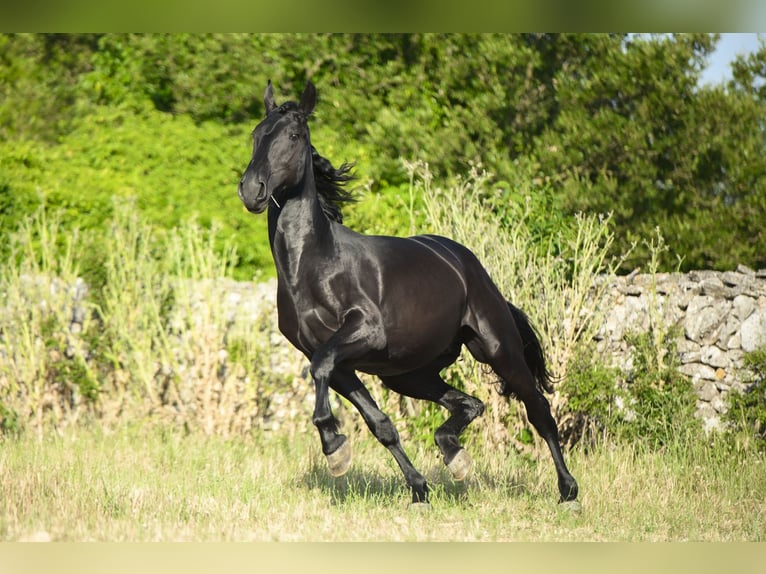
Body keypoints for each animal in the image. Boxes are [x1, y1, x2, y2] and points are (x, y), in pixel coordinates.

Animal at [237, 81, 578, 507]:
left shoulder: (362, 333)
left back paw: (568, 490)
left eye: (294, 136)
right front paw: (415, 487)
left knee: (539, 410)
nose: (252, 190)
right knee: (470, 403)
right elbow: (379, 422)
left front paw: (334, 446)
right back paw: (455, 456)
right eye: (256, 135)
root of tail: (466, 262)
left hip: (498, 349)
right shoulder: (339, 362)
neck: (314, 266)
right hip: (408, 374)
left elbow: (319, 369)